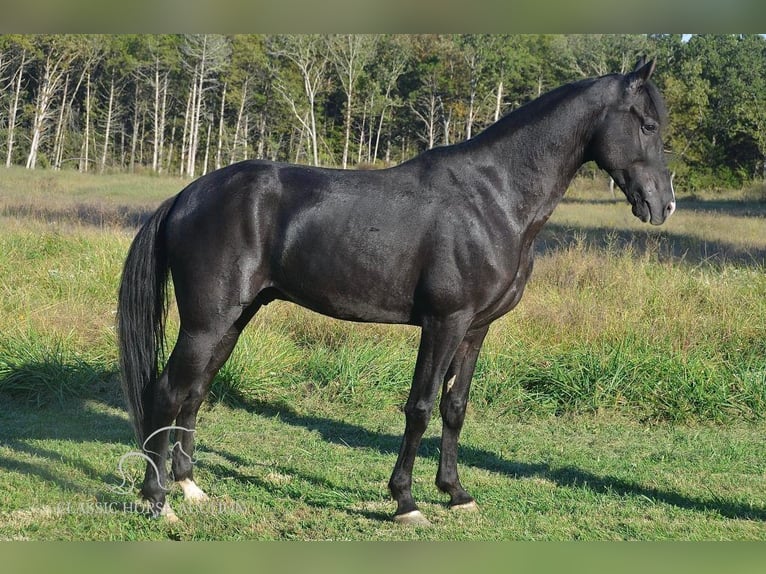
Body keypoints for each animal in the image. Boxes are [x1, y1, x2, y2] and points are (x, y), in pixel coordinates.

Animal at [117, 57, 676, 528]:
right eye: (648, 126)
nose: (663, 204)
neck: (494, 198)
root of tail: (188, 195)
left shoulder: (476, 329)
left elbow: (456, 408)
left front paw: (456, 493)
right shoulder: (444, 322)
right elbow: (421, 407)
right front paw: (405, 501)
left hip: (233, 319)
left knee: (195, 392)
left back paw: (190, 488)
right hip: (206, 322)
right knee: (167, 393)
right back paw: (158, 501)